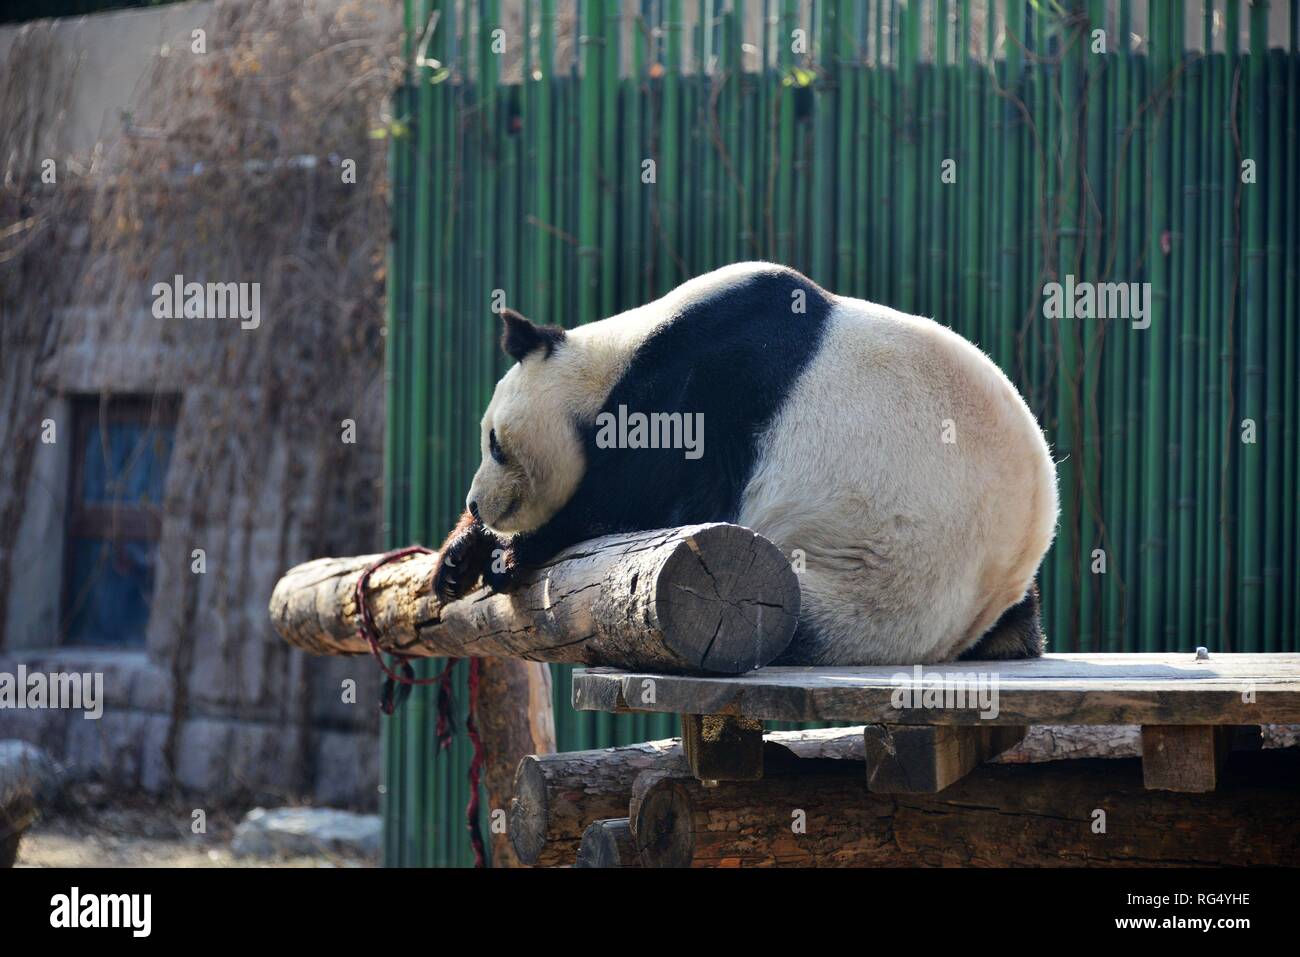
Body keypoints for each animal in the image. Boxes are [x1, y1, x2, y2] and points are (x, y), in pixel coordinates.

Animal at [431, 261, 1060, 665]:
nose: (475, 503)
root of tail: (954, 631)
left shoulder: (709, 381)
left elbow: (643, 501)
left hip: (864, 578)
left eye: (495, 443)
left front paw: (513, 553)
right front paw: (458, 559)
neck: (615, 360)